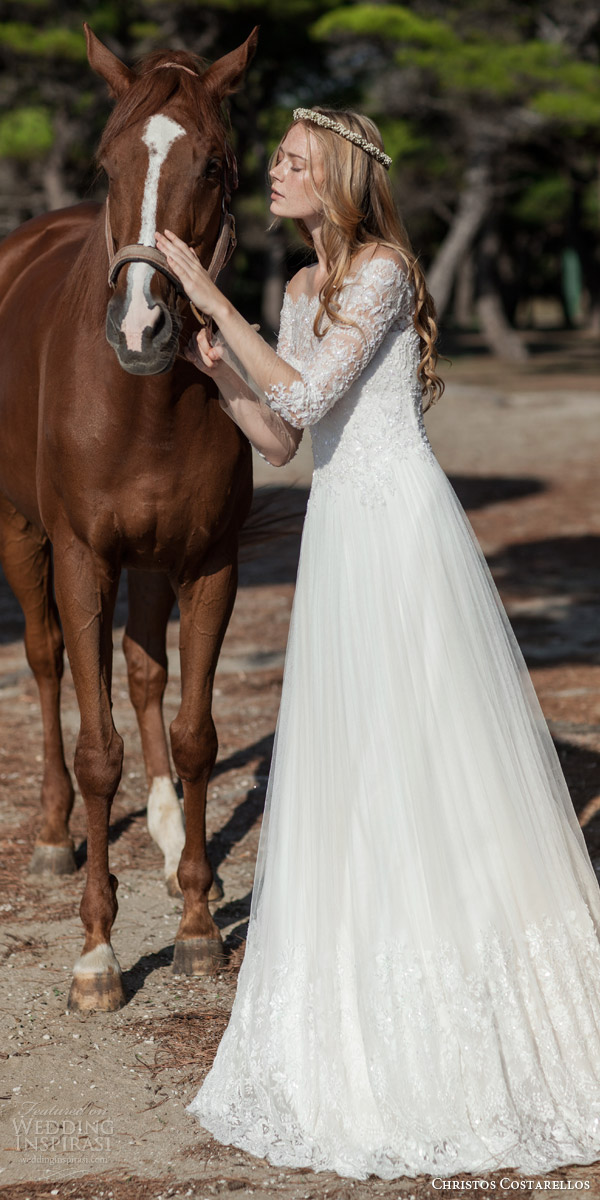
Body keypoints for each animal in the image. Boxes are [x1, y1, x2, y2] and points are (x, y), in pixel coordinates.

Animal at [0, 23, 256, 1008]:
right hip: (22, 536)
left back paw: (178, 839)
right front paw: (98, 954)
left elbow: (192, 736)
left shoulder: (211, 562)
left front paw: (195, 923)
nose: (141, 327)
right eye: (106, 163)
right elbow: (96, 749)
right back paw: (51, 837)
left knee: (147, 678)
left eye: (215, 165)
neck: (145, 405)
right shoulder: (83, 558)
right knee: (45, 665)